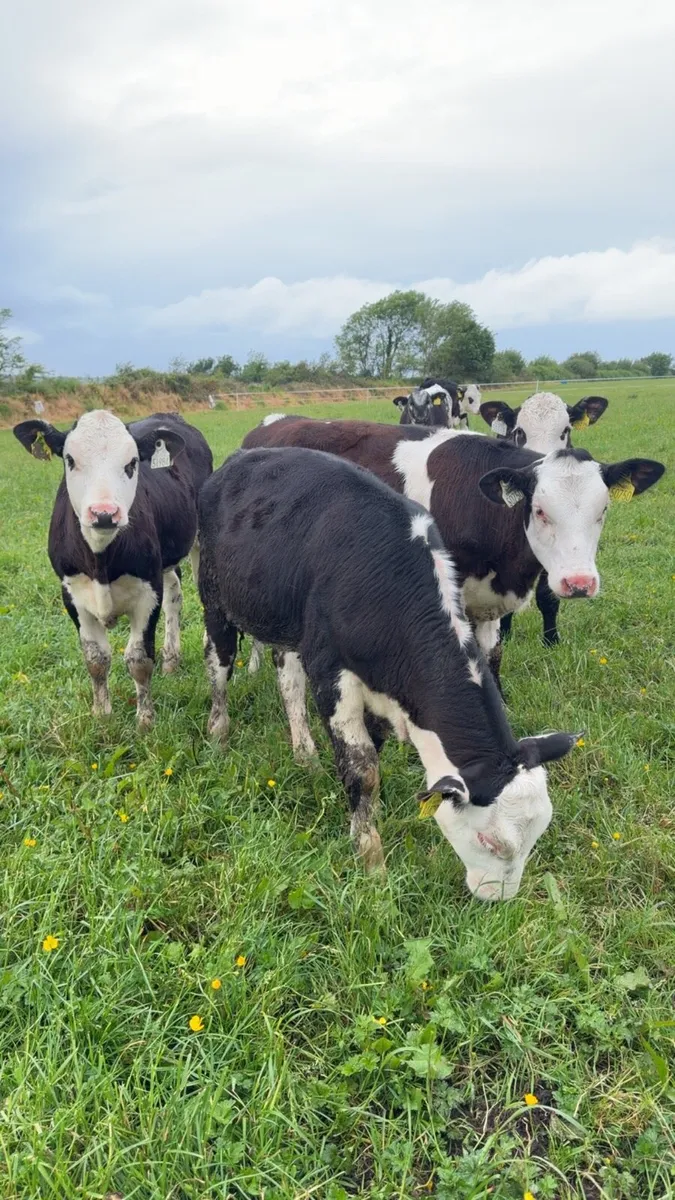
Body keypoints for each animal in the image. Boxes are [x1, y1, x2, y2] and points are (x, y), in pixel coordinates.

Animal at [13, 410, 213, 727]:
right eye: (70, 459)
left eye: (132, 463)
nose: (104, 513)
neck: (100, 561)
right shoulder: (72, 593)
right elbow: (96, 659)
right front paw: (102, 715)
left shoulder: (148, 591)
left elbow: (139, 659)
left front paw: (145, 721)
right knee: (175, 593)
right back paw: (171, 659)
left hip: (197, 539)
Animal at [198, 445, 579, 900]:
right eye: (490, 841)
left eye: (535, 837)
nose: (499, 900)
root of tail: (243, 457)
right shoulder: (332, 675)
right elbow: (362, 769)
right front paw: (371, 860)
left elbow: (371, 756)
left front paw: (365, 817)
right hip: (215, 600)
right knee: (219, 666)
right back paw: (218, 736)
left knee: (288, 683)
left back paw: (305, 755)